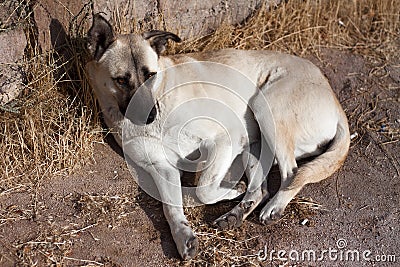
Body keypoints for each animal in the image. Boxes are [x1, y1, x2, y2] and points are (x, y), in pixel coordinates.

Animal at [86, 13, 348, 260]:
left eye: (151, 75)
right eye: (121, 80)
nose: (150, 115)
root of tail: (337, 105)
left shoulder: (224, 137)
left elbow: (203, 188)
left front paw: (230, 190)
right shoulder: (161, 166)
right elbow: (172, 207)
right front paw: (183, 235)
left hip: (266, 109)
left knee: (292, 173)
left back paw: (274, 207)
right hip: (254, 147)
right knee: (260, 190)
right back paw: (236, 214)